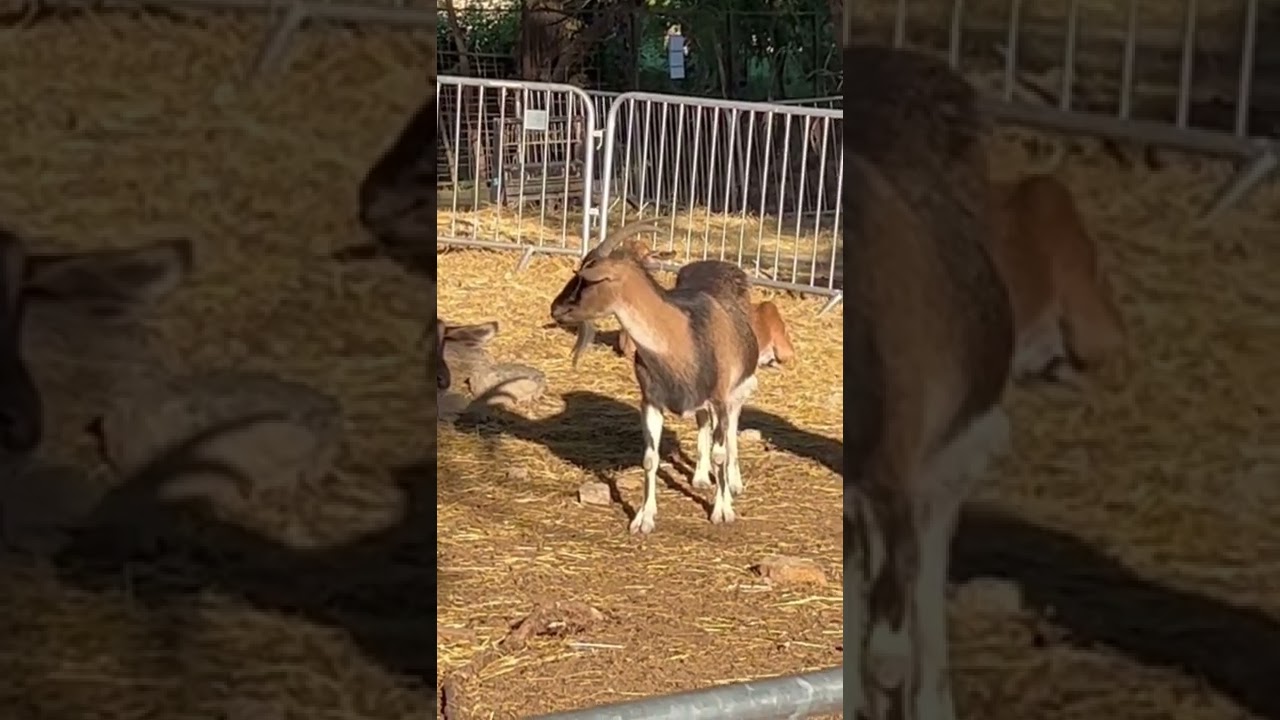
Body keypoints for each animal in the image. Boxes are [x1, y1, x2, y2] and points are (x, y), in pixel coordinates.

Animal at [550, 220, 759, 534]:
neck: (681, 337)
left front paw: (722, 510)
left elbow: (721, 452)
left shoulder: (720, 397)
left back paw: (733, 483)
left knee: (731, 429)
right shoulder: (651, 401)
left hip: (737, 391)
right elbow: (650, 459)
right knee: (703, 421)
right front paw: (643, 518)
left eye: (590, 279)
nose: (556, 308)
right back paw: (700, 476)